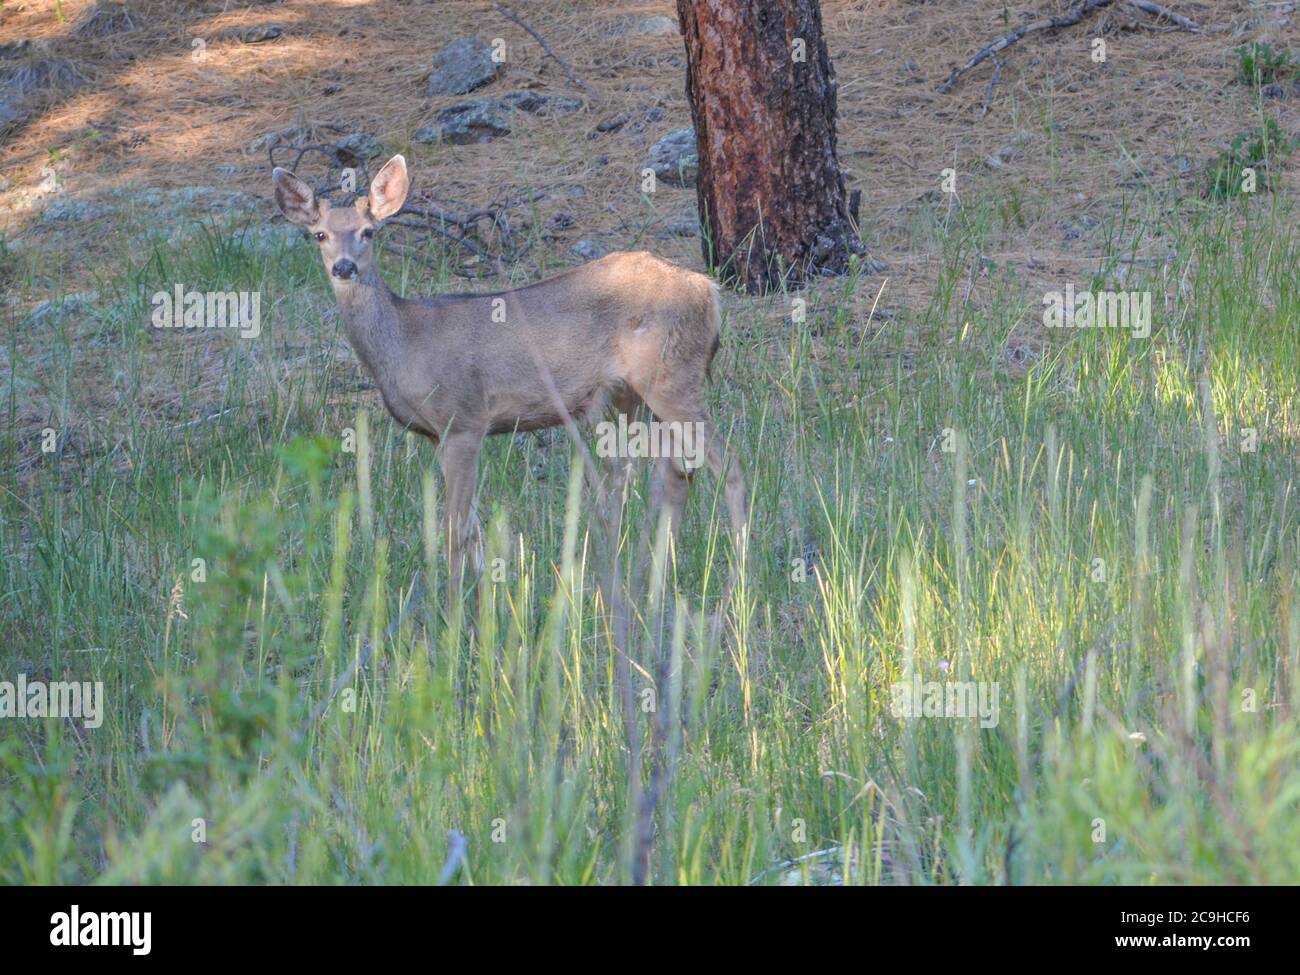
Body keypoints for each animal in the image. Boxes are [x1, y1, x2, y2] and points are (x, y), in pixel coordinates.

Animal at [272, 155, 748, 582]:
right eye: (319, 234)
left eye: (368, 231)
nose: (344, 266)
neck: (406, 343)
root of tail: (709, 291)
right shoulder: (437, 435)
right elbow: (474, 530)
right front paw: (483, 598)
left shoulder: (464, 419)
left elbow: (454, 530)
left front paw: (452, 609)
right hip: (636, 396)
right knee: (675, 475)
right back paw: (651, 577)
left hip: (672, 378)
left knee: (729, 466)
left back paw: (738, 576)